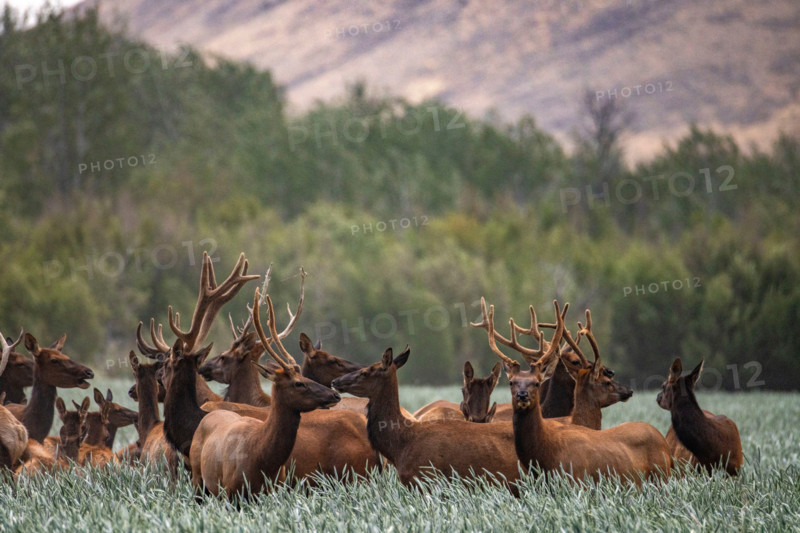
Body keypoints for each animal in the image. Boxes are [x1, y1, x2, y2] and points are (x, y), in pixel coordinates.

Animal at [189, 289, 345, 498]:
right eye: (298, 383)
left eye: (222, 357)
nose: (335, 395)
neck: (261, 458)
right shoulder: (232, 492)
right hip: (198, 481)